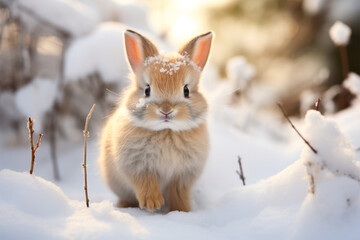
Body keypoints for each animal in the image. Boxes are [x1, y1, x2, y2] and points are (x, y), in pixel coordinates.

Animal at [98, 29, 212, 211]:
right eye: (147, 90)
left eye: (186, 90)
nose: (166, 110)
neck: (166, 131)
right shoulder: (136, 165)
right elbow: (145, 182)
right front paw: (153, 203)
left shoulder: (183, 175)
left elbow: (178, 192)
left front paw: (180, 210)